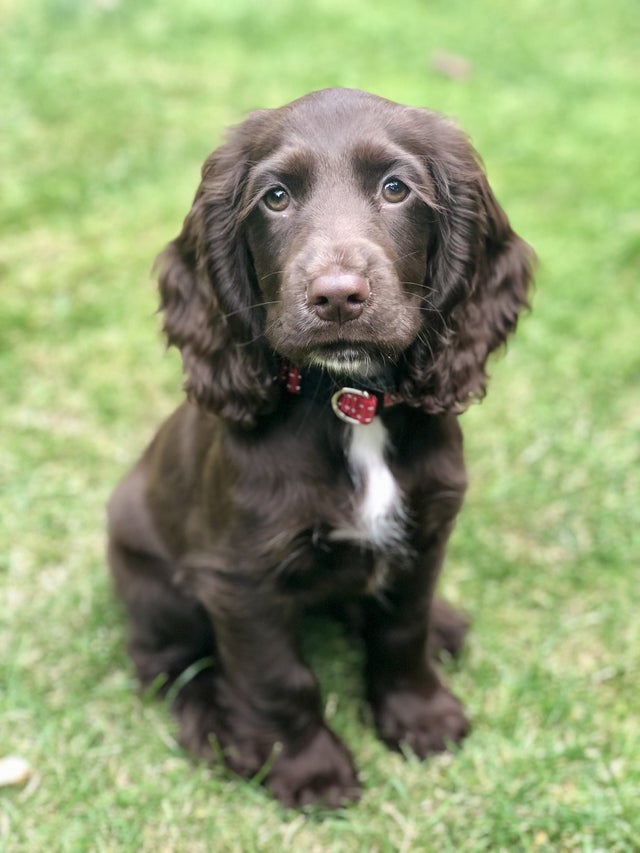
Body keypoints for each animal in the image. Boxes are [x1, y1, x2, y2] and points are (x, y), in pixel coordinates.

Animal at [106, 86, 536, 804]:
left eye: (396, 188)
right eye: (275, 197)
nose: (337, 297)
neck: (348, 402)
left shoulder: (425, 531)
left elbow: (402, 629)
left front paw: (420, 716)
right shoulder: (240, 576)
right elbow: (278, 677)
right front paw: (307, 769)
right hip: (154, 585)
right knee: (169, 667)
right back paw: (215, 726)